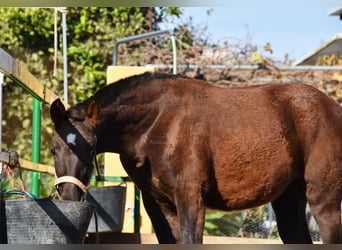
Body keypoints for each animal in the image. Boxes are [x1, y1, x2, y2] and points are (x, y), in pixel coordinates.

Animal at [50, 71, 342, 243]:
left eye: (90, 149)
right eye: (54, 148)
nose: (69, 196)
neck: (156, 125)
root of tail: (333, 107)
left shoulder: (190, 196)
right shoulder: (158, 204)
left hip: (324, 202)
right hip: (288, 202)